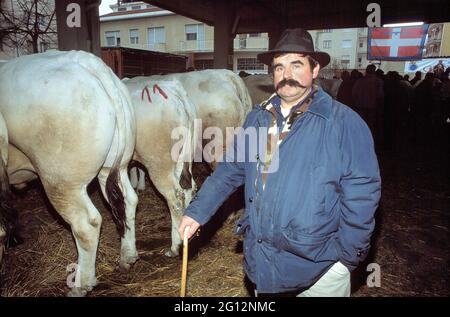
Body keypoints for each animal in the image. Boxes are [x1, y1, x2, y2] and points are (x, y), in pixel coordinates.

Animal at [0, 50, 137, 296]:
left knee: (86, 224)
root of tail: (85, 60)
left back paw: (81, 285)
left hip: (61, 181)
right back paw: (128, 256)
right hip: (114, 167)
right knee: (128, 201)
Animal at [125, 79, 199, 256]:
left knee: (175, 197)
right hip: (184, 156)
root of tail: (176, 92)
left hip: (159, 163)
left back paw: (175, 246)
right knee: (189, 189)